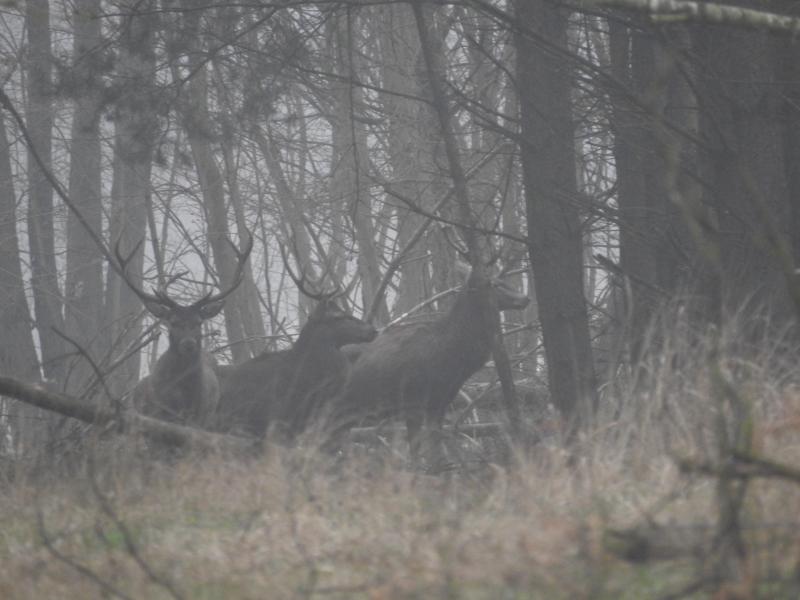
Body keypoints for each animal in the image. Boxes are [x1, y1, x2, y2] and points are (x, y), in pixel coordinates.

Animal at [117, 234, 253, 429]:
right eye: (173, 322)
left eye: (199, 322)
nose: (188, 343)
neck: (181, 396)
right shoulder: (159, 413)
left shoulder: (199, 416)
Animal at [326, 261, 529, 463]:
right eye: (494, 284)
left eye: (503, 281)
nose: (525, 298)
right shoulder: (413, 400)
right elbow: (418, 448)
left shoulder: (440, 401)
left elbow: (435, 443)